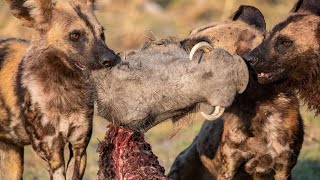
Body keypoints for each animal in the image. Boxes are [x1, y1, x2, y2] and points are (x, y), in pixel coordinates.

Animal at [0, 0, 117, 179]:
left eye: (102, 33)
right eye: (75, 35)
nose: (112, 59)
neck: (65, 88)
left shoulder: (79, 149)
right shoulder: (53, 154)